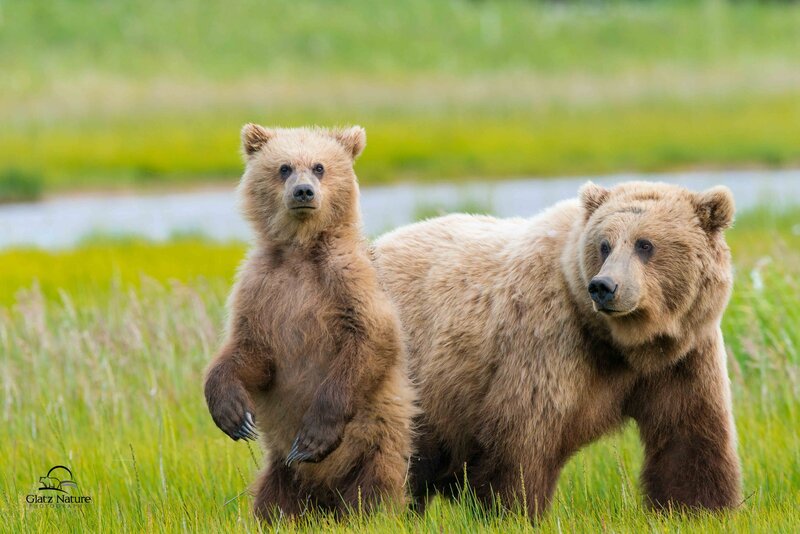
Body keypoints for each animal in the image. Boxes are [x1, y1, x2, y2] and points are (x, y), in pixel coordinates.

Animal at [203, 124, 415, 520]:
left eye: (319, 167)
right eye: (284, 167)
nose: (304, 191)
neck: (300, 251)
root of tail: (323, 497)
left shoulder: (348, 282)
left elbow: (370, 342)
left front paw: (313, 437)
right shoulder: (261, 287)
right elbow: (249, 349)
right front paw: (234, 415)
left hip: (376, 445)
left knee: (373, 489)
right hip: (281, 470)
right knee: (271, 500)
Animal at [371, 181, 742, 519]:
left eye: (645, 244)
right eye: (604, 244)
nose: (604, 286)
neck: (625, 344)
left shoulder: (684, 354)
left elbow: (689, 433)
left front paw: (700, 508)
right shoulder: (547, 342)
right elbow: (522, 441)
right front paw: (515, 511)